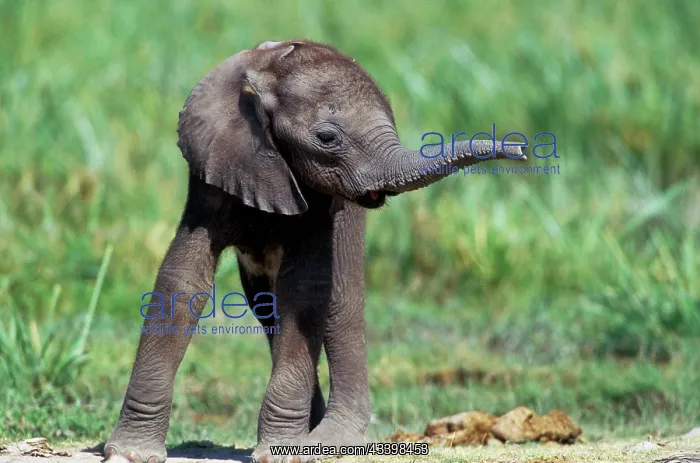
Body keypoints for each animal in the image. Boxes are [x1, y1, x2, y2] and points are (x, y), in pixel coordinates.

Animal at [104, 39, 525, 463]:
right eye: (326, 138)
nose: (521, 151)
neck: (266, 74)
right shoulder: (215, 167)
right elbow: (183, 280)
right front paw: (130, 454)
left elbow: (305, 289)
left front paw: (282, 454)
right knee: (268, 306)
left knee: (338, 303)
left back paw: (330, 442)